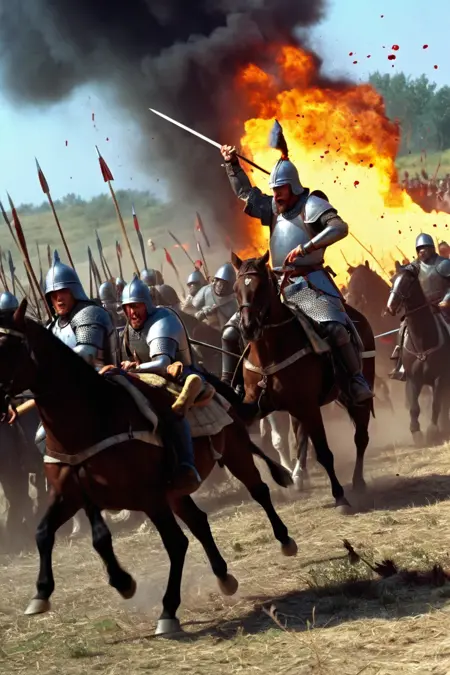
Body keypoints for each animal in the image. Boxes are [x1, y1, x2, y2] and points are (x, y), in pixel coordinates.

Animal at [0, 300, 297, 636]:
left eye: (6, 344)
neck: (92, 416)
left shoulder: (146, 497)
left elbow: (167, 543)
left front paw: (155, 603)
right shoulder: (71, 495)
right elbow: (46, 533)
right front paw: (42, 593)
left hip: (233, 454)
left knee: (257, 492)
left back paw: (285, 541)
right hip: (175, 492)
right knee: (199, 521)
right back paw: (223, 576)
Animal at [232, 252, 375, 512]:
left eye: (260, 287)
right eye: (237, 289)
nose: (248, 327)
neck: (271, 352)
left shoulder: (307, 406)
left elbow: (324, 452)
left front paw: (340, 497)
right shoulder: (257, 407)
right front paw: (282, 476)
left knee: (360, 436)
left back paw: (357, 482)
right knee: (300, 436)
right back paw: (298, 476)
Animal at [386, 263, 450, 445]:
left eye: (408, 281)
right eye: (392, 279)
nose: (391, 306)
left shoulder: (440, 378)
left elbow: (436, 404)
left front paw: (432, 431)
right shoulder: (413, 379)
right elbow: (415, 407)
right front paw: (416, 432)